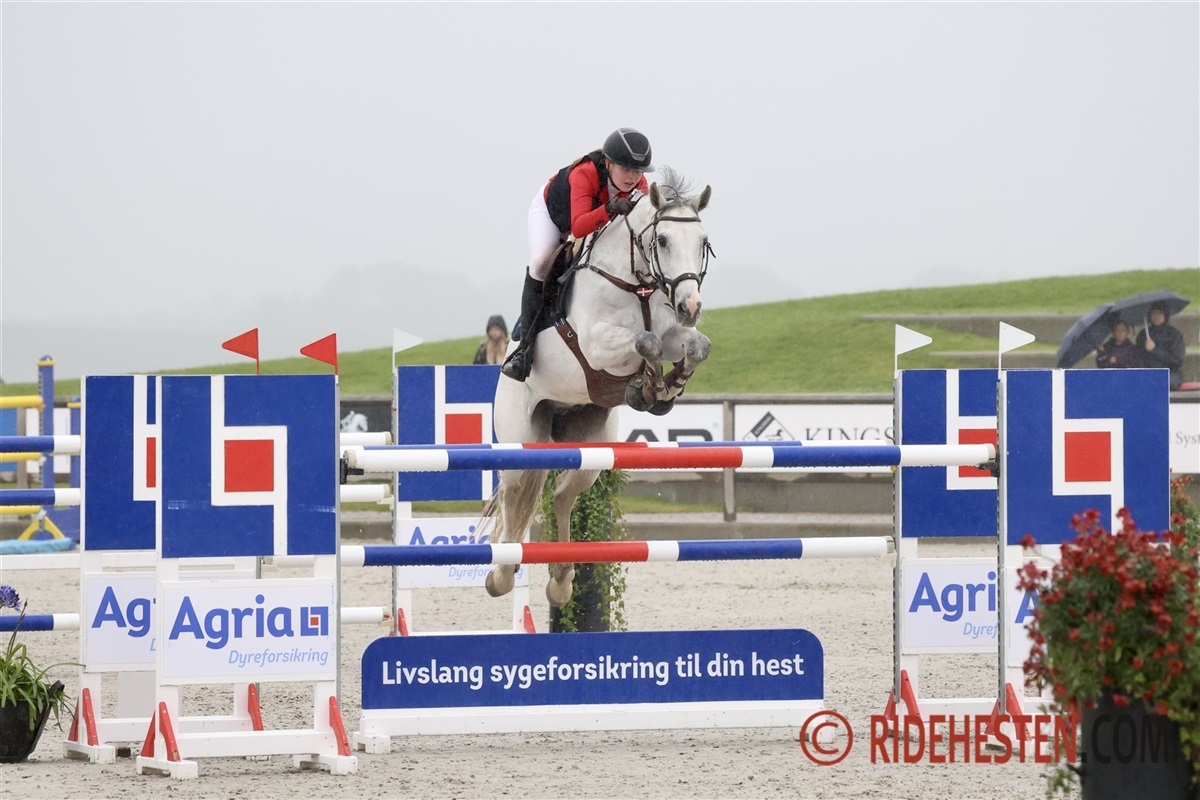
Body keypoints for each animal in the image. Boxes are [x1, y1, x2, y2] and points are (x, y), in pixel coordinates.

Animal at [485, 171, 714, 607]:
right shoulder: (596, 344)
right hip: (519, 440)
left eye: (703, 242)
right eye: (663, 241)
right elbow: (645, 343)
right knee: (512, 494)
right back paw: (501, 574)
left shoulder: (675, 334)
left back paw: (561, 582)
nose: (690, 306)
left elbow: (695, 346)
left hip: (590, 448)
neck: (633, 280)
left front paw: (663, 390)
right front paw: (649, 387)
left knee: (561, 495)